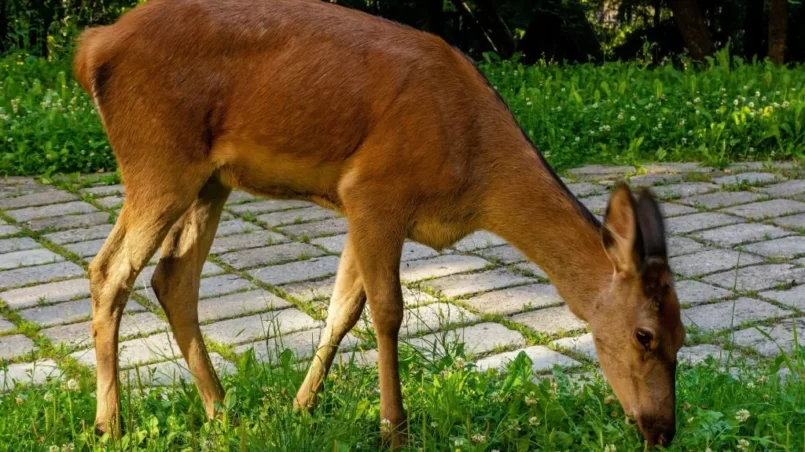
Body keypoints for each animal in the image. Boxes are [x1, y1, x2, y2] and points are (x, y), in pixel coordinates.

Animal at [72, 0, 680, 446]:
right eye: (644, 335)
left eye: (682, 334)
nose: (662, 430)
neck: (475, 169)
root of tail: (91, 48)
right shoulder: (376, 189)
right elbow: (387, 312)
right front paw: (394, 428)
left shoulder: (365, 208)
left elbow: (343, 309)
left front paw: (301, 407)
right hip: (158, 160)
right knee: (110, 271)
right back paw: (111, 424)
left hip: (210, 180)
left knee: (172, 278)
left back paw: (223, 413)